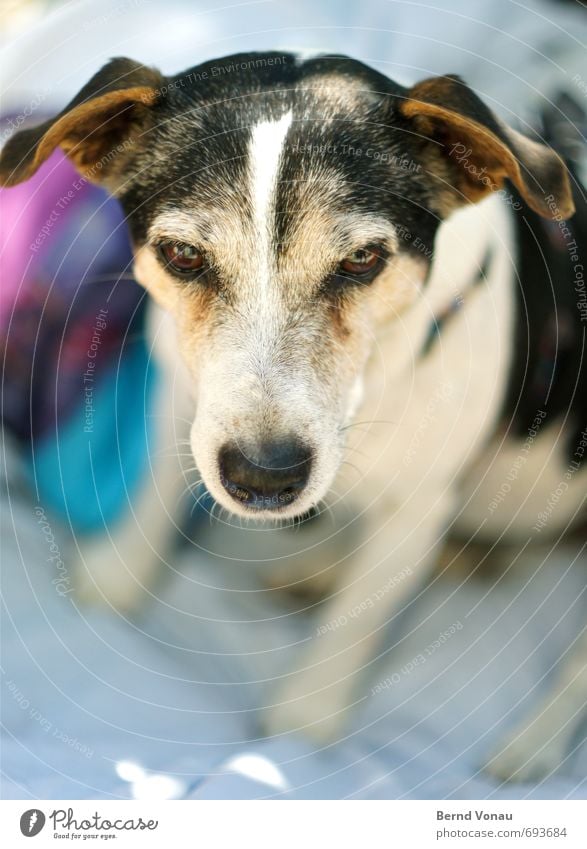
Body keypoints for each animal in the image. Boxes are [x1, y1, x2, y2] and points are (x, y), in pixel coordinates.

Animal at [2, 53, 584, 780]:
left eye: (362, 259)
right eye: (183, 255)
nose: (263, 477)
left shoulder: (418, 504)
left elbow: (353, 623)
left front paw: (301, 730)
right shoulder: (183, 398)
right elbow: (155, 492)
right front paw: (112, 584)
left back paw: (531, 747)